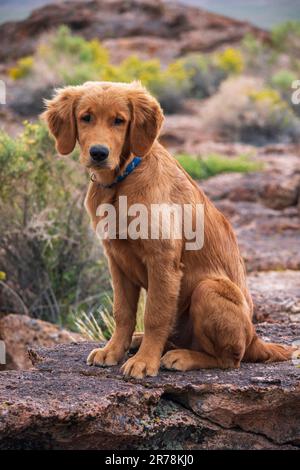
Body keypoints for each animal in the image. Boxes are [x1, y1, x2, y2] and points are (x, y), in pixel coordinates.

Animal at [43, 81, 294, 380]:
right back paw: (140, 342)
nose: (99, 153)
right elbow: (123, 312)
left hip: (209, 289)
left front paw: (144, 362)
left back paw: (181, 357)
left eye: (119, 121)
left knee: (229, 359)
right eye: (86, 117)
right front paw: (114, 350)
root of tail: (256, 338)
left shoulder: (162, 259)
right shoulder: (116, 260)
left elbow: (154, 314)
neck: (123, 178)